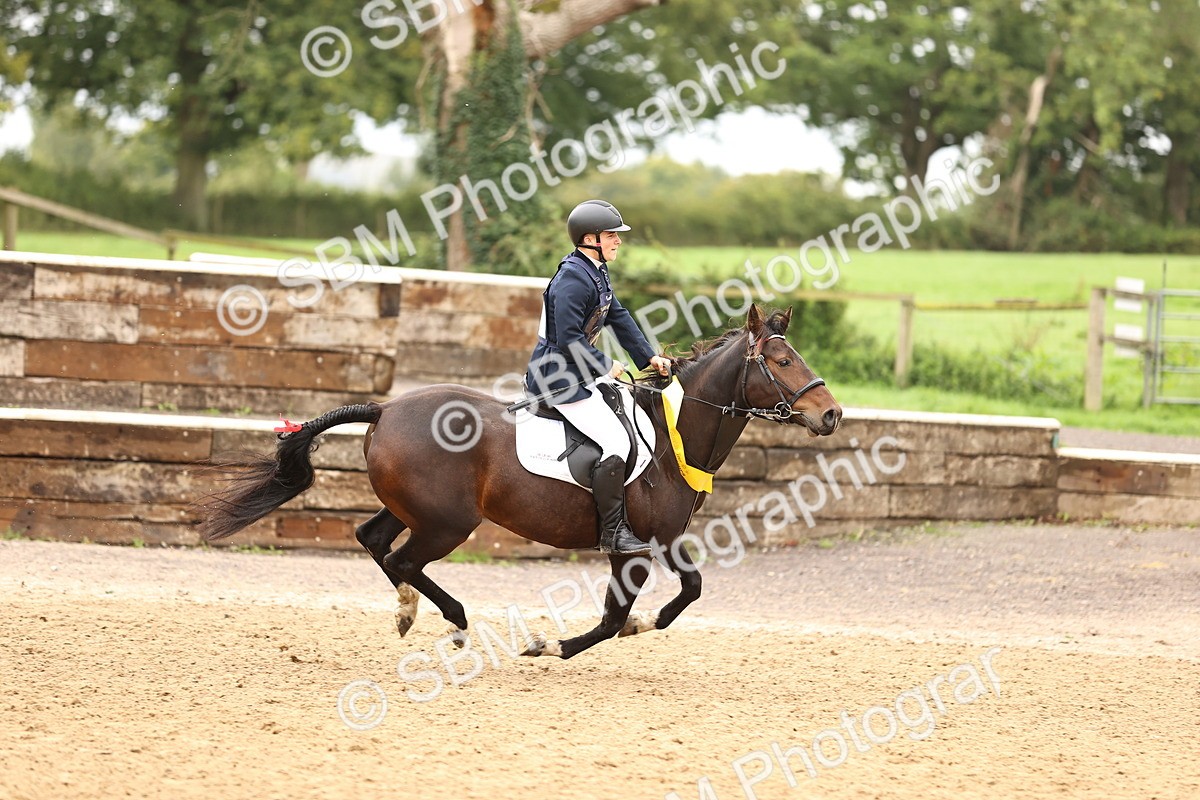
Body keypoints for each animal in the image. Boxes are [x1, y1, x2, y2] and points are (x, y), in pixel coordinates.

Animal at [196, 304, 842, 659]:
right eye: (783, 362)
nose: (832, 414)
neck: (672, 436)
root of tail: (387, 408)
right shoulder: (633, 547)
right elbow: (614, 618)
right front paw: (551, 644)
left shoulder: (662, 539)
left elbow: (689, 591)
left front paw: (642, 624)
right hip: (449, 523)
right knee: (403, 560)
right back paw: (453, 623)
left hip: (417, 511)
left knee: (374, 540)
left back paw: (409, 610)